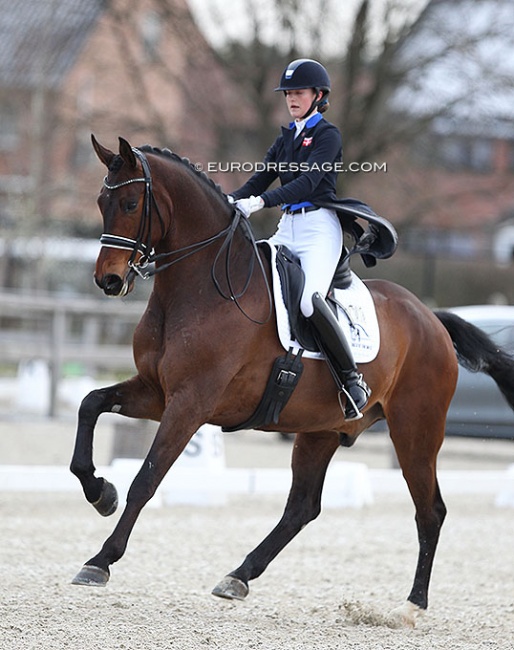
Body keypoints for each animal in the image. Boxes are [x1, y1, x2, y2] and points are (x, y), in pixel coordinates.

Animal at [70, 134, 512, 624]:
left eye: (131, 203)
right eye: (101, 202)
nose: (108, 281)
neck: (199, 288)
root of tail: (431, 319)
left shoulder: (190, 403)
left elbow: (147, 479)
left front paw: (101, 560)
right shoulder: (157, 393)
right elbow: (90, 403)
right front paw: (100, 492)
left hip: (417, 429)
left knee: (429, 511)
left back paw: (411, 605)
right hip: (321, 431)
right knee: (302, 507)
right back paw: (238, 576)